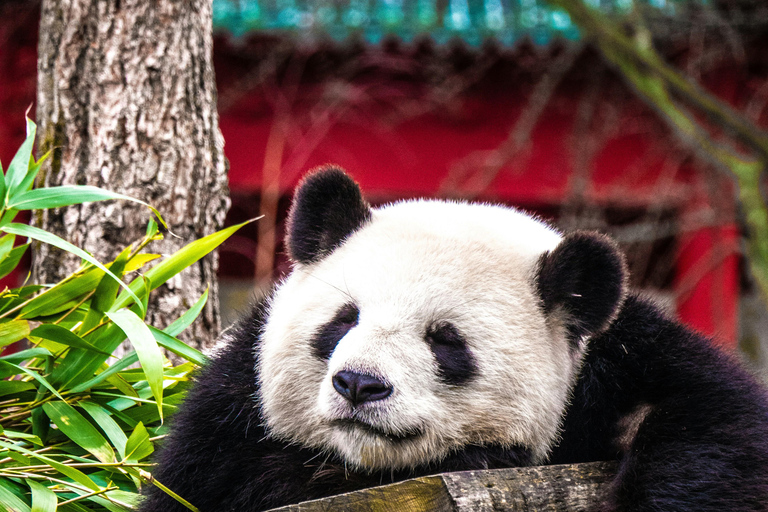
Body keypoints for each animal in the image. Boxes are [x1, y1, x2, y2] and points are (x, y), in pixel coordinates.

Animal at [141, 166, 768, 512]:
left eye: (445, 341)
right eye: (344, 319)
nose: (359, 384)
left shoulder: (616, 361)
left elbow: (714, 422)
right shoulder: (227, 415)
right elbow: (220, 482)